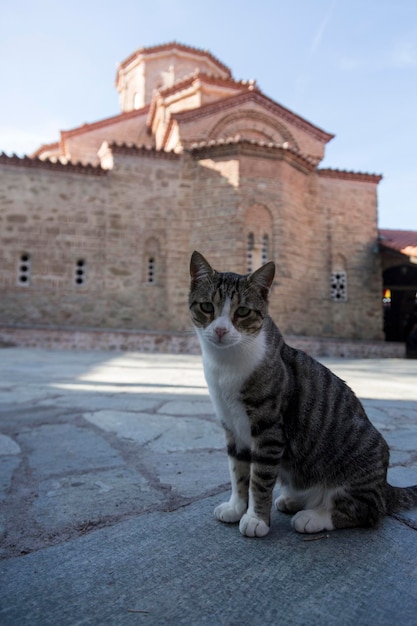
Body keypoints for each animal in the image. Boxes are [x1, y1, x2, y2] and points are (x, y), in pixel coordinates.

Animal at [188, 249, 416, 536]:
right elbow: (238, 471)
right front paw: (237, 507)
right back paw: (294, 500)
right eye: (207, 307)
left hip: (360, 459)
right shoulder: (231, 424)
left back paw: (313, 517)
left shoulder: (269, 428)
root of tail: (385, 487)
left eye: (242, 311)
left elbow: (259, 478)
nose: (220, 330)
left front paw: (256, 519)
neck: (226, 365)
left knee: (366, 511)